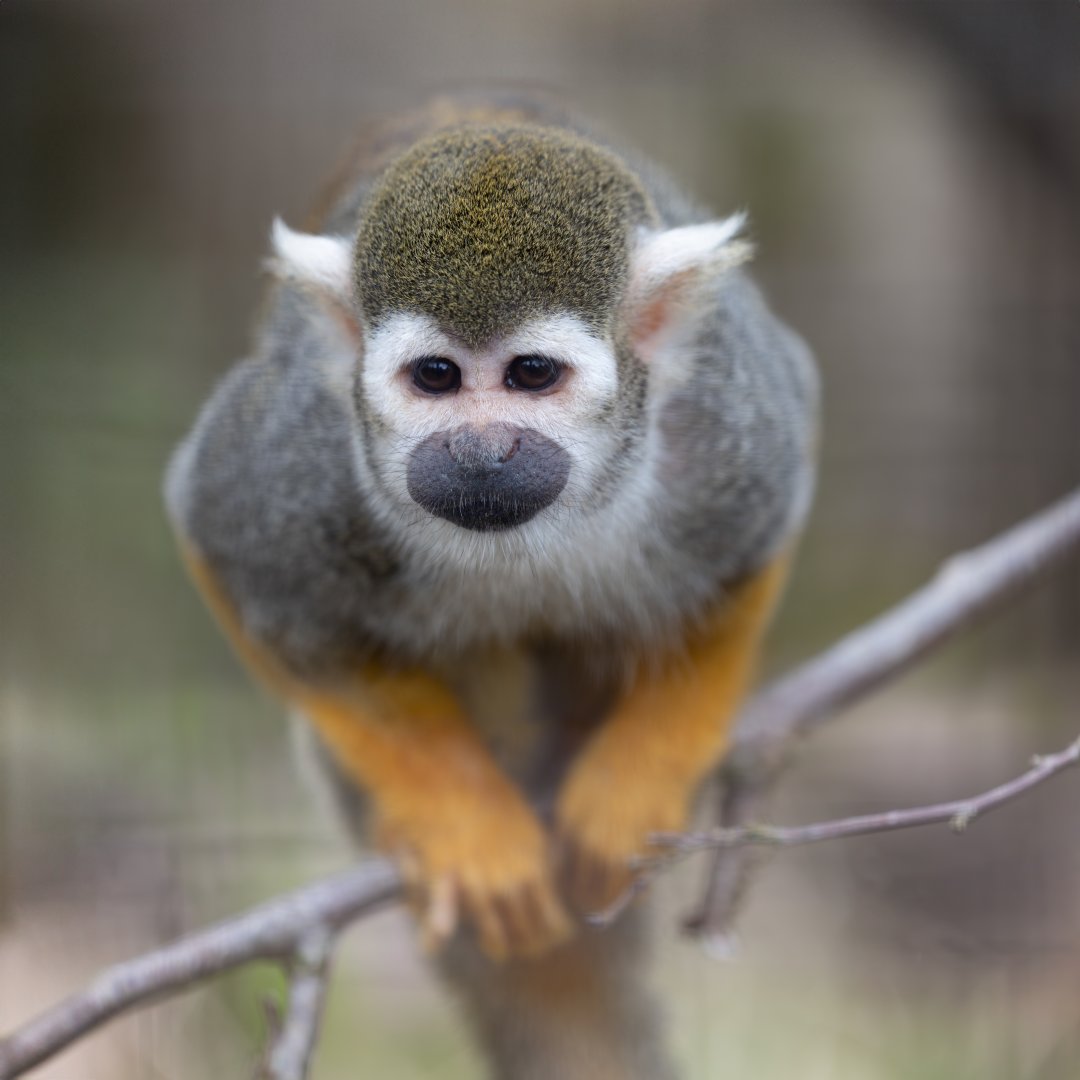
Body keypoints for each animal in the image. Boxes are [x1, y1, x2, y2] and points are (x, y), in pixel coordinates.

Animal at [165, 91, 819, 1079]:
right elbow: (236, 557)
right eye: (435, 377)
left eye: (532, 374)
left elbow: (752, 545)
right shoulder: (301, 463)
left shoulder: (724, 428)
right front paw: (462, 823)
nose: (481, 452)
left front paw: (635, 783)